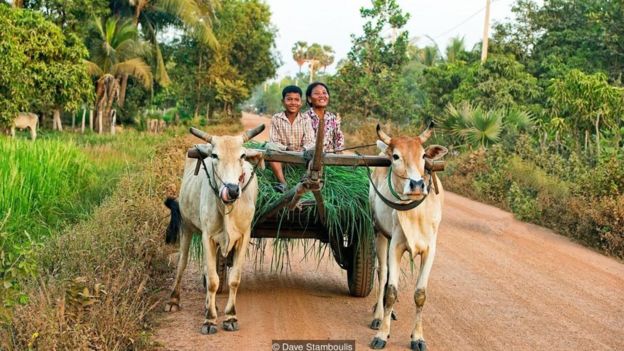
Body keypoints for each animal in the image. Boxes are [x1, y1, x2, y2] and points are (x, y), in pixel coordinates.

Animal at [163, 126, 264, 336]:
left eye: (242, 155)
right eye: (215, 155)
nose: (232, 190)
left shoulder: (244, 236)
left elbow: (234, 279)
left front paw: (230, 316)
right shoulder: (207, 235)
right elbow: (212, 280)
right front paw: (209, 320)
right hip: (187, 226)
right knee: (182, 263)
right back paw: (174, 300)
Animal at [368, 122, 446, 350]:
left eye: (423, 155)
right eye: (396, 156)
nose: (417, 185)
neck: (416, 212)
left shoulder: (430, 250)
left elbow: (420, 295)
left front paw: (418, 338)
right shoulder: (395, 245)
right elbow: (391, 291)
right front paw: (382, 335)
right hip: (380, 234)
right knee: (383, 274)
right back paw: (379, 316)